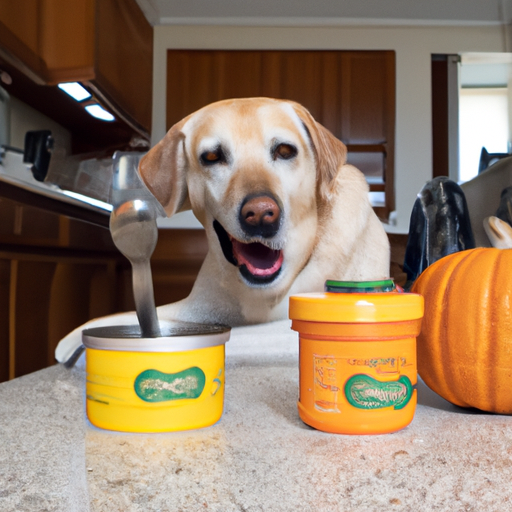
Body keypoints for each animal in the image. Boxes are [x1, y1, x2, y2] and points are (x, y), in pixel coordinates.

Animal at [55, 99, 388, 360]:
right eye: (212, 157)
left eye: (284, 151)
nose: (261, 215)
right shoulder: (196, 307)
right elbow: (116, 317)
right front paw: (71, 342)